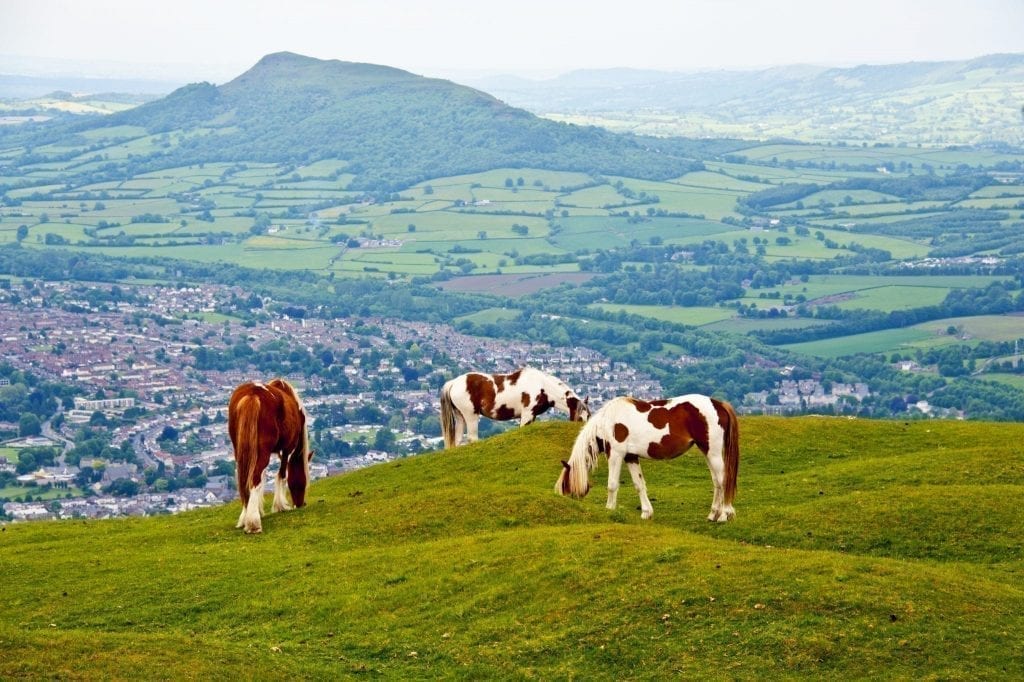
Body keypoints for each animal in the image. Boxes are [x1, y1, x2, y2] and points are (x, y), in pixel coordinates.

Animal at [228, 376, 311, 532]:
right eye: (303, 482)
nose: (300, 504)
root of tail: (253, 394)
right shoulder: (287, 449)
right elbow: (282, 475)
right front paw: (280, 506)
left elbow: (264, 477)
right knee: (254, 478)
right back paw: (253, 523)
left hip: (242, 451)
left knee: (245, 478)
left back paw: (245, 516)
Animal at [436, 366, 589, 446]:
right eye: (581, 418)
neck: (542, 386)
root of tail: (453, 383)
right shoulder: (527, 414)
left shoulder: (532, 415)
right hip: (471, 415)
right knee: (472, 438)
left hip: (460, 416)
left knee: (457, 440)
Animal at [557, 393, 741, 520]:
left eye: (565, 483)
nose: (566, 499)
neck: (607, 422)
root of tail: (719, 404)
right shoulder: (630, 456)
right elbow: (639, 484)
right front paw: (646, 512)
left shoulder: (615, 454)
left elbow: (612, 484)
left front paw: (609, 509)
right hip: (708, 452)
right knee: (717, 482)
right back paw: (713, 514)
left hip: (713, 452)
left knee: (723, 480)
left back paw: (724, 515)